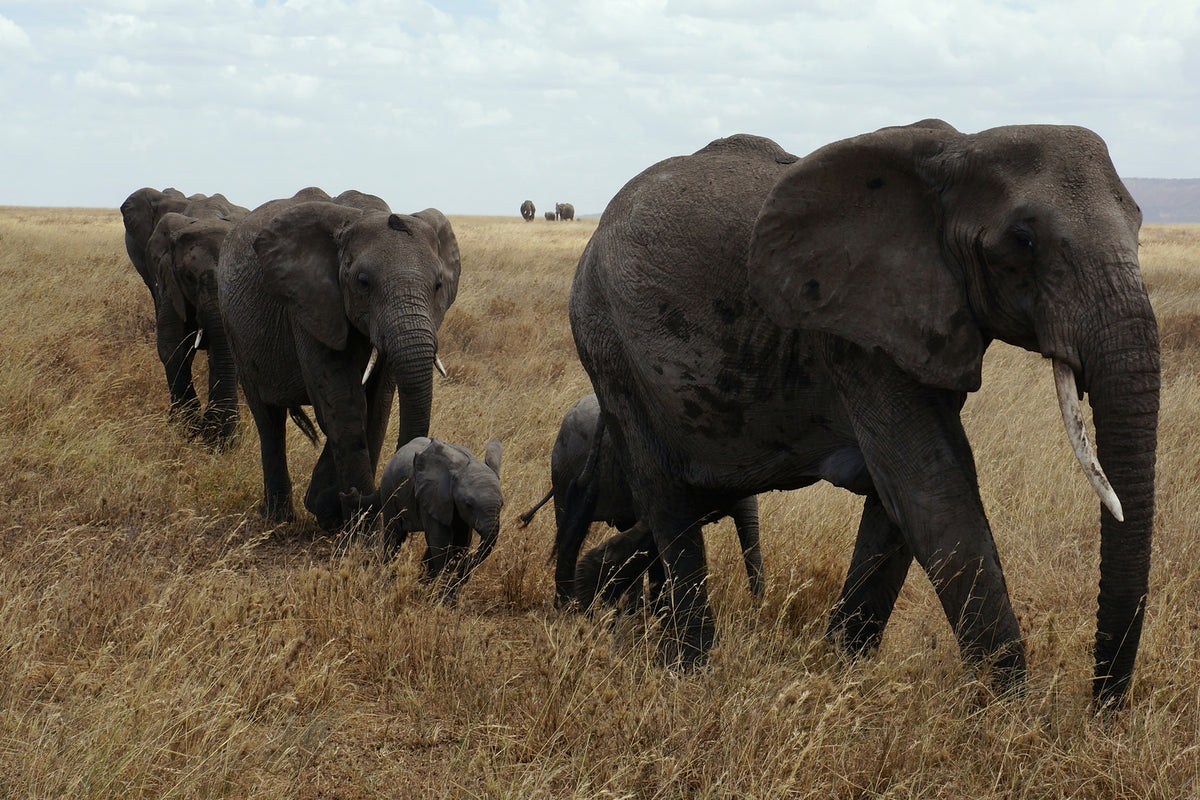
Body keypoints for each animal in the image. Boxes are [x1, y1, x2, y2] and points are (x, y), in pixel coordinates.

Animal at [216, 188, 458, 532]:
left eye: (438, 285)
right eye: (363, 282)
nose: (354, 495)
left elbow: (377, 405)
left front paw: (332, 513)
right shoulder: (308, 304)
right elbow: (343, 403)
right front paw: (360, 531)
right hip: (233, 328)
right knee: (268, 419)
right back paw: (279, 519)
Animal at [571, 120, 1161, 705]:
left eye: (1138, 226)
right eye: (1023, 239)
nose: (1100, 710)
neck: (962, 147)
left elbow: (901, 500)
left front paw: (842, 669)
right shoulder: (855, 332)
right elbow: (932, 487)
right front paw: (1011, 713)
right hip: (608, 346)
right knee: (667, 497)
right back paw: (690, 670)